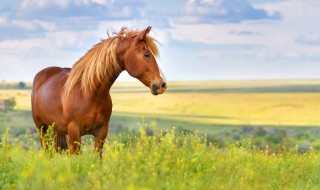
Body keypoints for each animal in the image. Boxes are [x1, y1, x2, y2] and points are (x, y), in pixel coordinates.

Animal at [31, 26, 168, 155]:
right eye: (147, 54)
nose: (162, 85)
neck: (88, 93)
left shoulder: (101, 133)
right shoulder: (74, 133)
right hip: (42, 130)